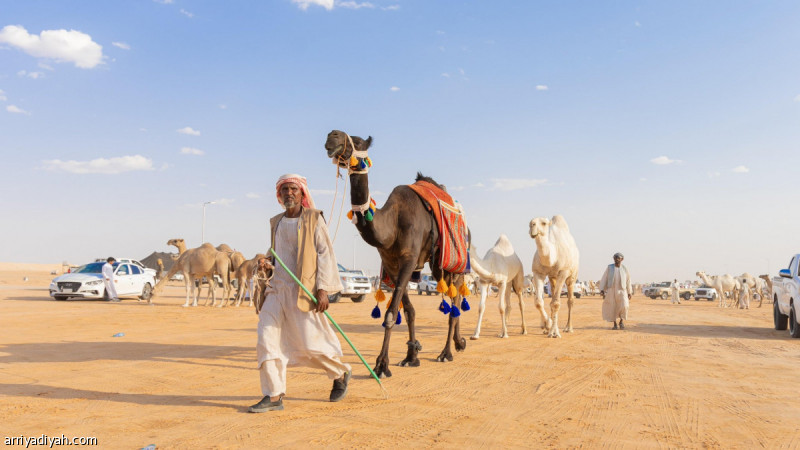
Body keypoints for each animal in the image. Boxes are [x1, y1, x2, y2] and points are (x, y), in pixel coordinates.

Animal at [322, 130, 466, 380]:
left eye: (357, 142)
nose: (333, 136)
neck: (392, 222)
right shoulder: (391, 263)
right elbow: (408, 311)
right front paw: (411, 356)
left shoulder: (409, 258)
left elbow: (390, 314)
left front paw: (381, 365)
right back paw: (458, 343)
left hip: (449, 265)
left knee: (454, 301)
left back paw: (446, 352)